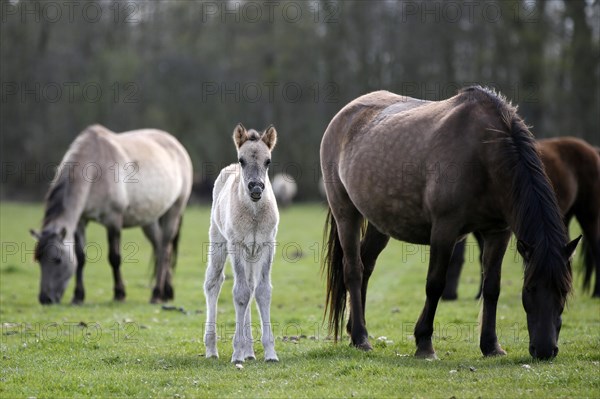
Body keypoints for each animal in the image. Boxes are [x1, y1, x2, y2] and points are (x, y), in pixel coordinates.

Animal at [30, 123, 192, 304]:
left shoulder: (113, 221)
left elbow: (114, 258)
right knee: (160, 248)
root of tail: (176, 144)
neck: (94, 167)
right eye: (38, 259)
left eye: (58, 260)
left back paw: (157, 293)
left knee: (164, 250)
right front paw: (78, 296)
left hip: (174, 211)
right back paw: (166, 292)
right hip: (149, 220)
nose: (45, 299)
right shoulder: (81, 221)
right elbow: (80, 257)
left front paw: (119, 293)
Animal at [204, 123, 278, 364]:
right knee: (213, 283)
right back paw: (212, 349)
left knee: (251, 285)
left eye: (268, 161)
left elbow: (262, 291)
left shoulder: (267, 245)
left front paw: (270, 353)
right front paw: (237, 353)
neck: (254, 214)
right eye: (242, 160)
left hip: (252, 253)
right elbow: (240, 294)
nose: (256, 188)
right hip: (218, 241)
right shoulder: (236, 245)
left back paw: (250, 351)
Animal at [324, 86, 580, 360]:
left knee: (367, 265)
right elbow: (435, 284)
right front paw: (424, 343)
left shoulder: (498, 232)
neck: (484, 152)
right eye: (530, 288)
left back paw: (354, 330)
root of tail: (343, 115)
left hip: (379, 223)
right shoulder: (444, 230)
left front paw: (491, 346)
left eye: (564, 290)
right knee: (353, 269)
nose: (545, 350)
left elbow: (492, 287)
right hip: (346, 213)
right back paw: (361, 337)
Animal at [440, 138, 600, 300]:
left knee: (595, 249)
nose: (449, 296)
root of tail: (592, 150)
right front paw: (479, 293)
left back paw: (595, 293)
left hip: (589, 215)